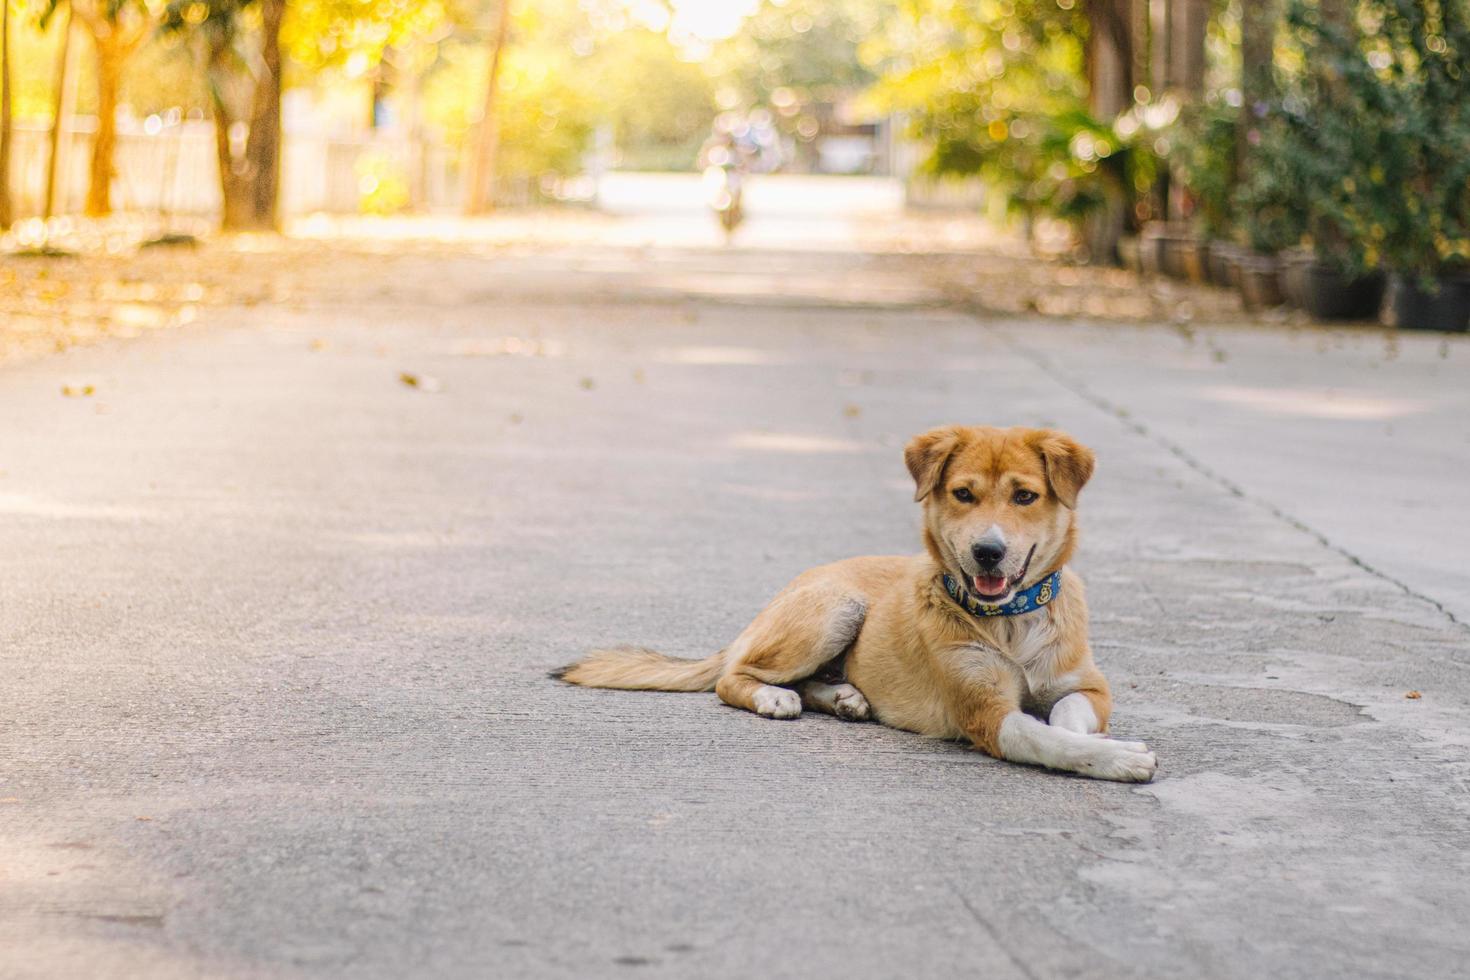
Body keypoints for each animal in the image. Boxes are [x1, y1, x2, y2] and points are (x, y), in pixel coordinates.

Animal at [552, 426, 1158, 787]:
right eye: (963, 494)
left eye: (1025, 496)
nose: (988, 552)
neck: (1012, 621)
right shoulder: (984, 714)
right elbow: (1045, 737)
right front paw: (1119, 757)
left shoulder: (1089, 687)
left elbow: (1065, 716)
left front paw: (1097, 738)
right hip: (836, 607)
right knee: (733, 677)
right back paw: (775, 696)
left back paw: (845, 696)